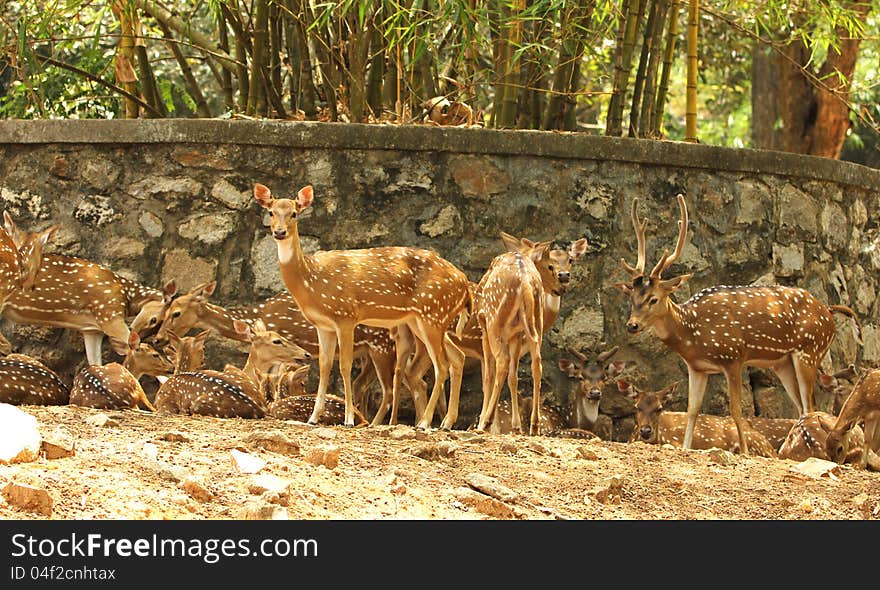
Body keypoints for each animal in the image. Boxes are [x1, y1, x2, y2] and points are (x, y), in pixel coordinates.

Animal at [0, 213, 180, 366]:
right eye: (155, 320)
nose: (157, 341)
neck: (126, 295)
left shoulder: (92, 330)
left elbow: (95, 364)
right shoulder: (109, 315)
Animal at [254, 183, 474, 428]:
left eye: (294, 213)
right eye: (271, 212)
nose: (279, 232)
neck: (311, 280)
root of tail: (465, 284)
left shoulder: (346, 315)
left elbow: (345, 366)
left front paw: (349, 419)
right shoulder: (323, 325)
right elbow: (324, 367)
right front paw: (313, 418)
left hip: (432, 314)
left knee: (442, 365)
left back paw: (425, 422)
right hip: (425, 320)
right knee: (457, 357)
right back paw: (446, 422)